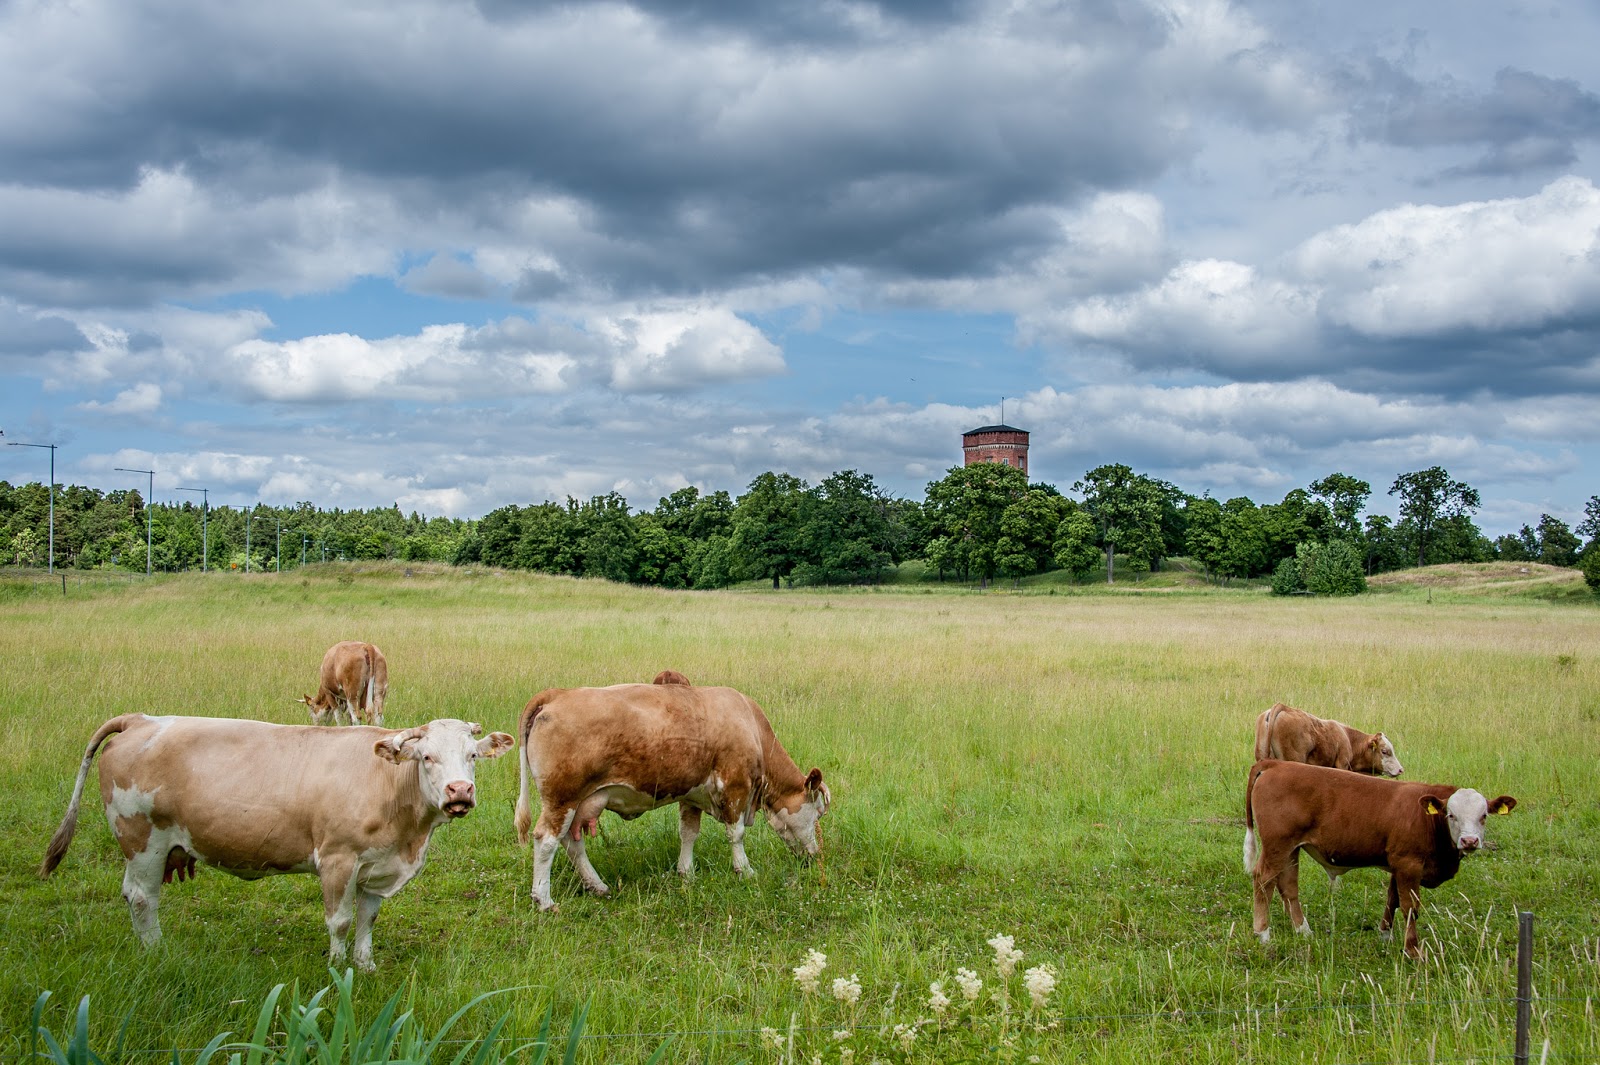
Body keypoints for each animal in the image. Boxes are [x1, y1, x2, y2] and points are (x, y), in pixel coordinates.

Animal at [39, 715, 513, 971]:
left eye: (472, 756)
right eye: (427, 757)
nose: (459, 791)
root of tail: (140, 719)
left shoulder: (377, 866)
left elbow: (367, 919)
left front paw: (365, 965)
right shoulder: (337, 859)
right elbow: (340, 922)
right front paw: (337, 969)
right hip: (143, 841)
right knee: (141, 897)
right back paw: (157, 951)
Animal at [513, 683, 830, 912]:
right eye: (818, 811)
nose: (815, 855)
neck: (749, 724)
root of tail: (556, 694)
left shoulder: (691, 794)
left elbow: (688, 833)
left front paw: (686, 873)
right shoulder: (735, 786)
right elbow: (736, 834)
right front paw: (745, 870)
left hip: (579, 803)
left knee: (572, 842)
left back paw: (597, 886)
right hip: (562, 799)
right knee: (546, 840)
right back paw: (544, 900)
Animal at [1243, 759, 1516, 958]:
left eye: (1484, 816)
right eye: (1451, 815)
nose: (1469, 841)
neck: (1426, 819)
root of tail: (1276, 763)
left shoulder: (1398, 865)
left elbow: (1392, 900)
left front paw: (1385, 935)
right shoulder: (1409, 865)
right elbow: (1410, 907)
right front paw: (1413, 950)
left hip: (1291, 849)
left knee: (1289, 886)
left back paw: (1303, 930)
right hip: (1277, 846)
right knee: (1263, 881)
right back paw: (1263, 934)